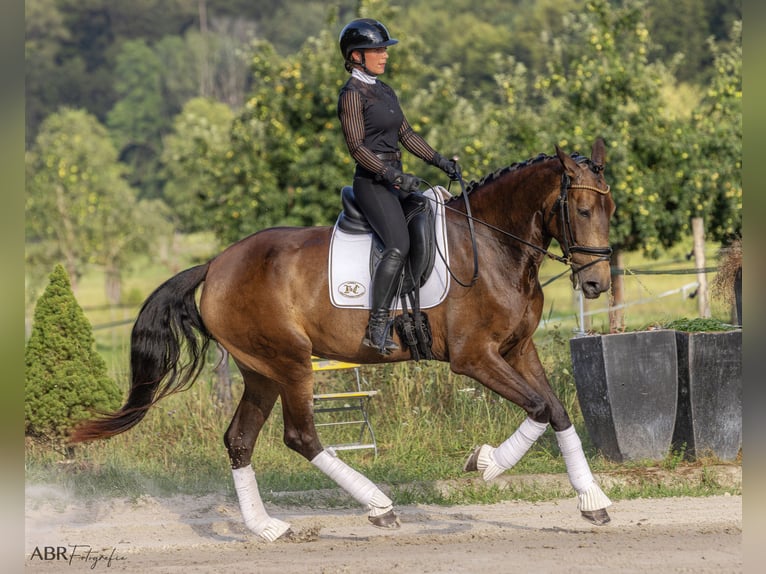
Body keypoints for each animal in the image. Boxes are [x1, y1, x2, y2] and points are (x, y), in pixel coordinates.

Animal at [72, 137, 616, 544]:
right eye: (582, 208)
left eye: (610, 207)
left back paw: (266, 527)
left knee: (240, 439)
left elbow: (556, 410)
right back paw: (378, 506)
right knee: (301, 436)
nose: (596, 284)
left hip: (261, 371)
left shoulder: (517, 349)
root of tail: (217, 264)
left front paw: (592, 501)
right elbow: (539, 408)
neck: (492, 244)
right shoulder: (474, 357)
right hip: (291, 362)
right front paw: (484, 464)